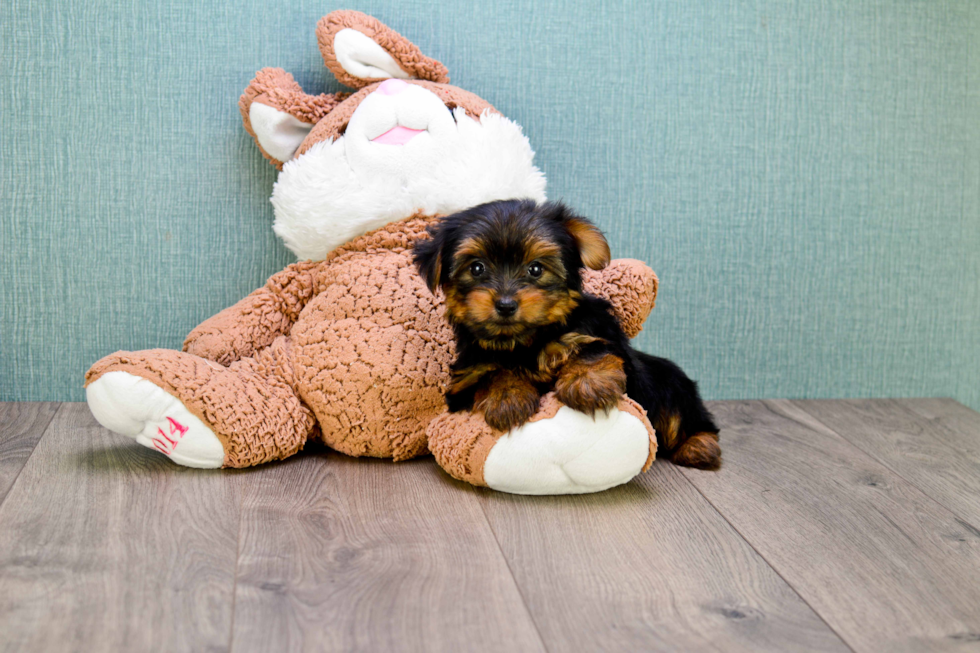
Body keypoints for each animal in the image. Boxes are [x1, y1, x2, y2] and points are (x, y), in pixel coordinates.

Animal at [414, 199, 720, 468]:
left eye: (536, 269)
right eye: (476, 267)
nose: (505, 304)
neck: (522, 342)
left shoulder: (600, 333)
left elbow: (589, 347)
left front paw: (588, 383)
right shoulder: (465, 381)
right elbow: (493, 372)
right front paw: (506, 397)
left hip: (672, 387)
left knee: (684, 418)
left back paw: (699, 446)